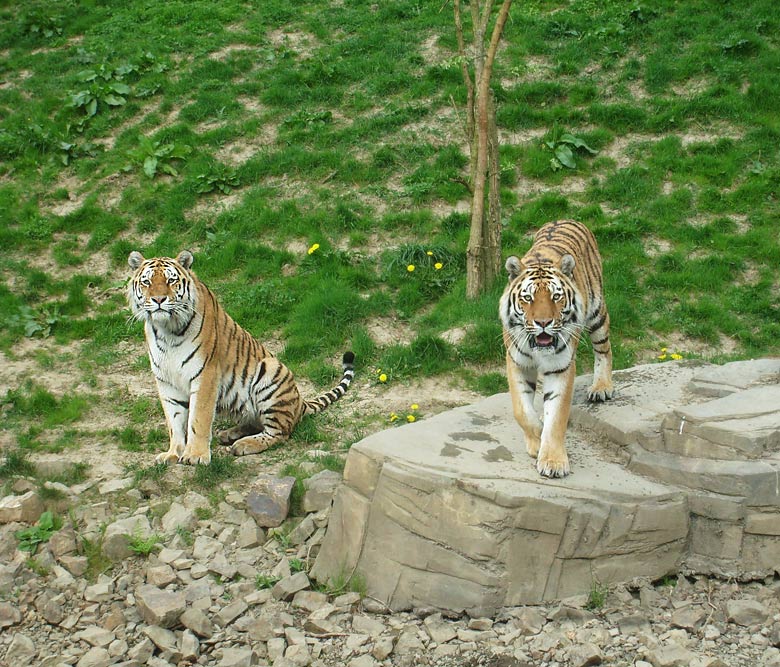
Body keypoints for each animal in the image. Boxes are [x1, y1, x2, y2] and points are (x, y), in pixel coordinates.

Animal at [125, 250, 354, 464]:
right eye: (146, 282)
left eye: (170, 280)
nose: (158, 300)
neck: (167, 331)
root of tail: (300, 402)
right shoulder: (166, 381)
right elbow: (174, 422)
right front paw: (173, 453)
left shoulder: (205, 375)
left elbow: (198, 419)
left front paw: (196, 456)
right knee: (255, 422)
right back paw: (229, 434)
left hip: (271, 371)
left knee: (280, 433)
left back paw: (243, 445)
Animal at [500, 222, 616, 478]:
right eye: (527, 298)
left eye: (556, 296)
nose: (543, 322)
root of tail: (568, 219)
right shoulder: (517, 363)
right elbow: (522, 411)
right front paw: (536, 441)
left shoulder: (561, 367)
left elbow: (557, 416)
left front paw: (553, 461)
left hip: (597, 314)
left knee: (604, 349)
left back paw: (601, 387)